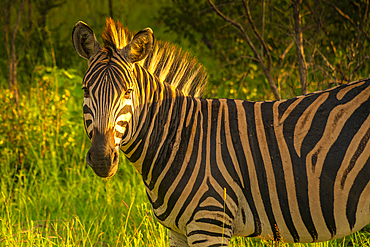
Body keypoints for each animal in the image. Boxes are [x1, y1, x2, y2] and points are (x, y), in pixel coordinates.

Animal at [71, 17, 370, 245]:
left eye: (128, 92)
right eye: (85, 90)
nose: (101, 159)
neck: (181, 139)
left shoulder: (210, 223)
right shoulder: (178, 231)